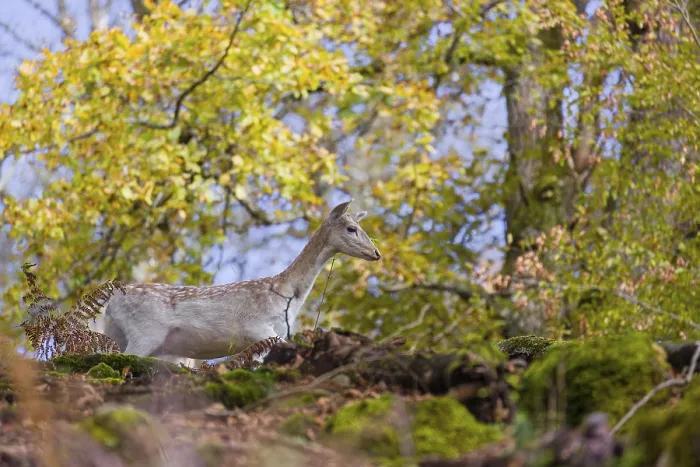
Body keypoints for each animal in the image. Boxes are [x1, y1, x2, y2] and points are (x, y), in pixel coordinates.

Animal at [101, 198, 381, 362]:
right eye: (351, 228)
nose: (376, 253)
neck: (286, 295)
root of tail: (110, 302)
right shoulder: (255, 327)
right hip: (146, 331)